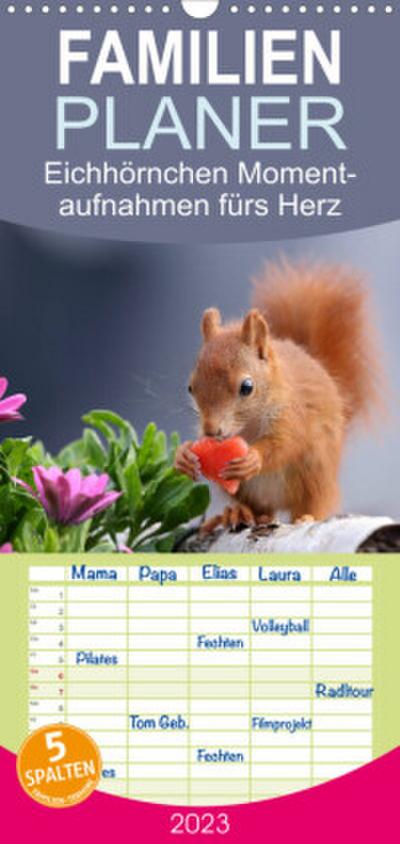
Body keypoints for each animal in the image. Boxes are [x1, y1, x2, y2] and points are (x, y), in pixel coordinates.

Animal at [174, 260, 383, 532]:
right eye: (191, 387)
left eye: (247, 387)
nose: (211, 431)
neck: (248, 427)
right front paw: (184, 455)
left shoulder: (292, 414)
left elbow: (286, 443)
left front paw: (254, 457)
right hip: (246, 491)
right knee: (259, 509)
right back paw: (237, 513)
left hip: (316, 474)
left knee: (315, 503)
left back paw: (306, 517)